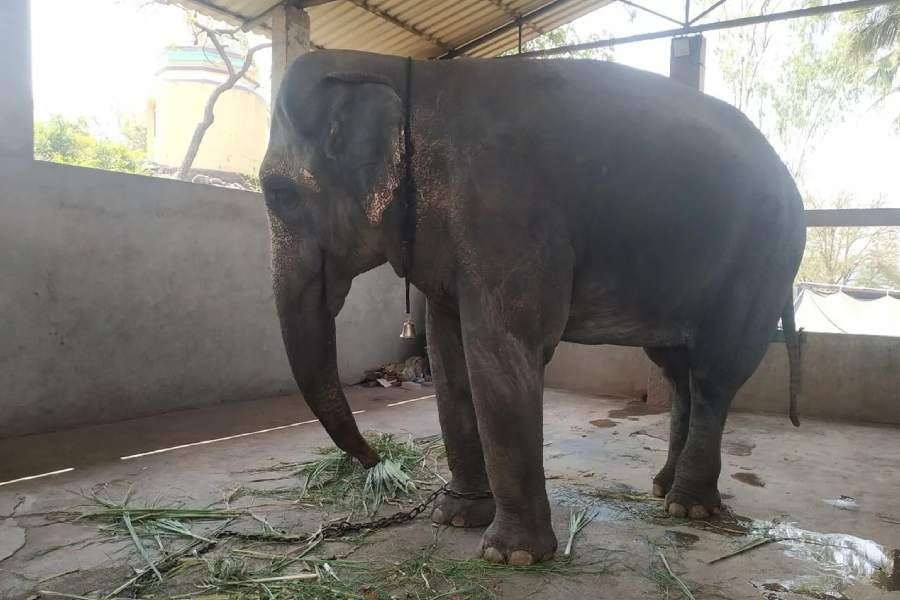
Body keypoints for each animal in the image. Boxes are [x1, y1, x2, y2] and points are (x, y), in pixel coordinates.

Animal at [260, 50, 805, 566]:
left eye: (278, 194)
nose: (376, 460)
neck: (403, 74)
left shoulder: (508, 215)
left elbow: (502, 351)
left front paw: (512, 556)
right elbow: (448, 356)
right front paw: (455, 518)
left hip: (764, 258)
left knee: (715, 372)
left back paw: (687, 507)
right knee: (677, 370)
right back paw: (663, 488)